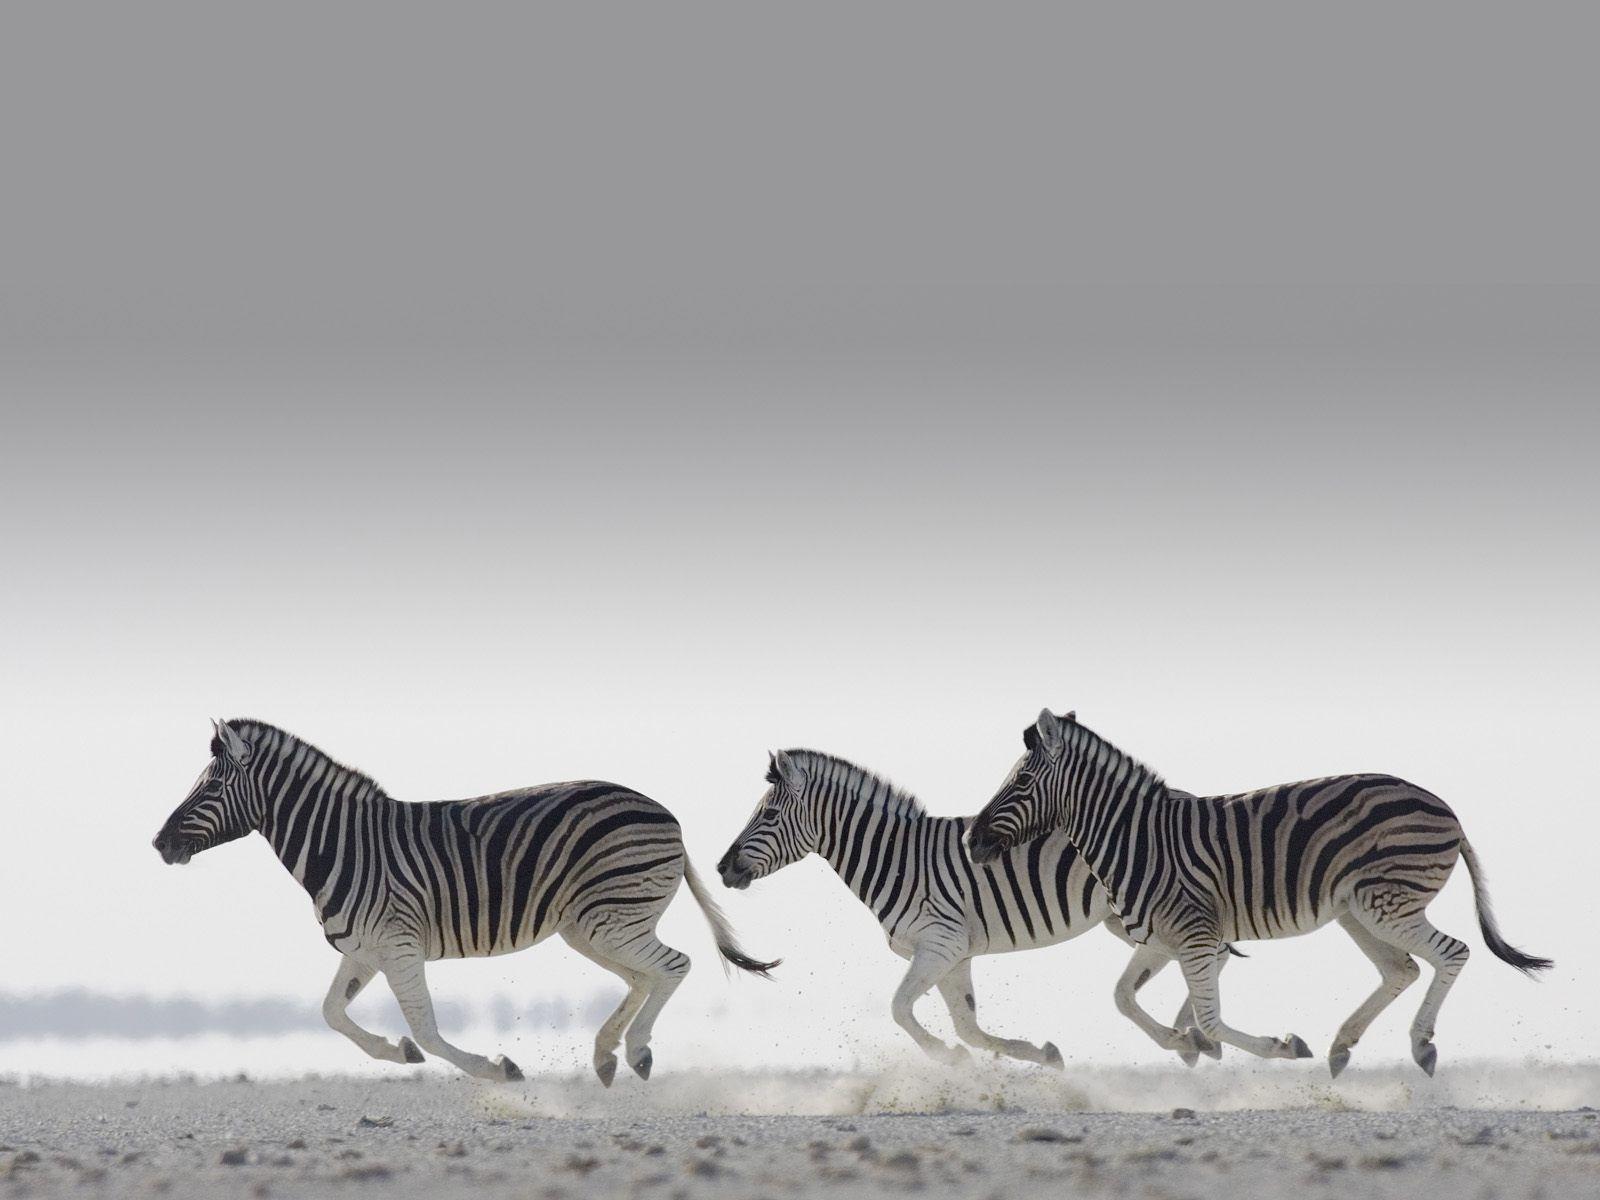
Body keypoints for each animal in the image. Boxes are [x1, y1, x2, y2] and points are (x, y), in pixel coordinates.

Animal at [152, 719, 778, 1083]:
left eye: (212, 785)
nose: (159, 843)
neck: (342, 844)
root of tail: (664, 812)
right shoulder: (364, 951)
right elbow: (331, 1013)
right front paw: (397, 1052)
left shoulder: (399, 946)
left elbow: (428, 1028)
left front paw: (496, 1069)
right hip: (592, 925)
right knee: (644, 976)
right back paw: (607, 1055)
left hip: (610, 918)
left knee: (674, 966)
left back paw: (638, 1052)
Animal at [716, 749, 1229, 1067]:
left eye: (768, 814)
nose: (722, 867)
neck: (897, 858)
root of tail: (1188, 799)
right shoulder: (952, 955)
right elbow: (968, 1026)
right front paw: (1041, 1055)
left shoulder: (939, 944)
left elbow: (900, 1009)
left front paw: (948, 1057)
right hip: (1125, 918)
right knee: (1210, 955)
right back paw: (1191, 1037)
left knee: (1209, 955)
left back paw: (1193, 1036)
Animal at [967, 709, 1553, 1077]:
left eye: (1021, 783)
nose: (972, 842)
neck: (1135, 838)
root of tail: (1445, 807)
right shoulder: (1160, 938)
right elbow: (1123, 998)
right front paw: (1185, 1044)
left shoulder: (1194, 933)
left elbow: (1210, 1018)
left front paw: (1275, 1046)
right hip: (1358, 911)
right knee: (1401, 970)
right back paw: (1342, 1047)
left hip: (1386, 903)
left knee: (1452, 952)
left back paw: (1421, 1045)